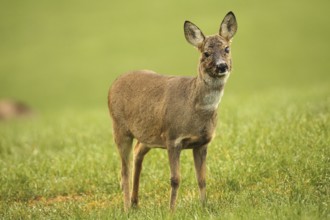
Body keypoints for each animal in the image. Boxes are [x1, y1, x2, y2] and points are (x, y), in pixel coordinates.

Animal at [108, 11, 237, 211]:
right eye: (206, 53)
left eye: (227, 49)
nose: (222, 66)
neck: (194, 108)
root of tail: (113, 84)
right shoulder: (173, 138)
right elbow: (175, 179)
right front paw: (171, 211)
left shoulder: (202, 142)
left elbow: (202, 178)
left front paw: (204, 206)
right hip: (120, 128)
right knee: (124, 170)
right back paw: (127, 208)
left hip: (148, 134)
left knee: (137, 153)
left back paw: (135, 202)